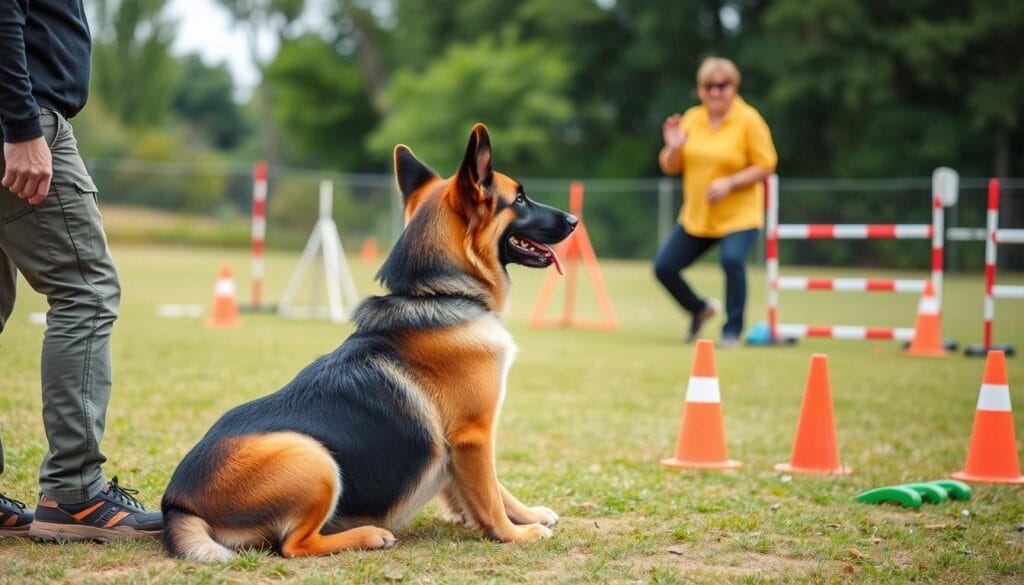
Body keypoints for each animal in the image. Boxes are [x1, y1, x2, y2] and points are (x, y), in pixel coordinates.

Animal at [159, 124, 577, 561]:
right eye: (519, 199)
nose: (574, 220)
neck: (437, 293)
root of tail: (176, 504)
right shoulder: (474, 435)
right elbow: (489, 496)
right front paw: (516, 533)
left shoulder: (462, 448)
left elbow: (493, 489)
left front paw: (527, 514)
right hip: (313, 457)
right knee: (293, 545)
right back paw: (368, 535)